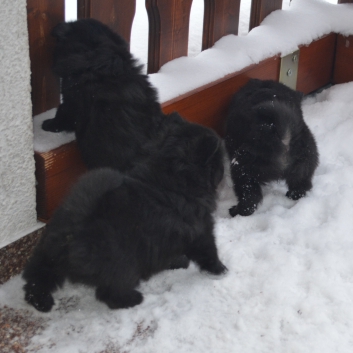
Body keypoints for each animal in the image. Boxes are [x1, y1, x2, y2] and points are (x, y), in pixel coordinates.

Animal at [22, 114, 226, 312]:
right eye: (219, 163)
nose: (223, 172)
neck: (171, 180)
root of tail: (72, 232)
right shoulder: (201, 230)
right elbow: (209, 252)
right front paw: (221, 270)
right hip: (123, 266)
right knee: (109, 293)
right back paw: (134, 299)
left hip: (47, 256)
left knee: (36, 279)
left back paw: (41, 302)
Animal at [224, 79, 318, 217]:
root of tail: (284, 138)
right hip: (305, 164)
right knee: (301, 186)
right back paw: (294, 195)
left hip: (242, 170)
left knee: (250, 199)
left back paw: (236, 211)